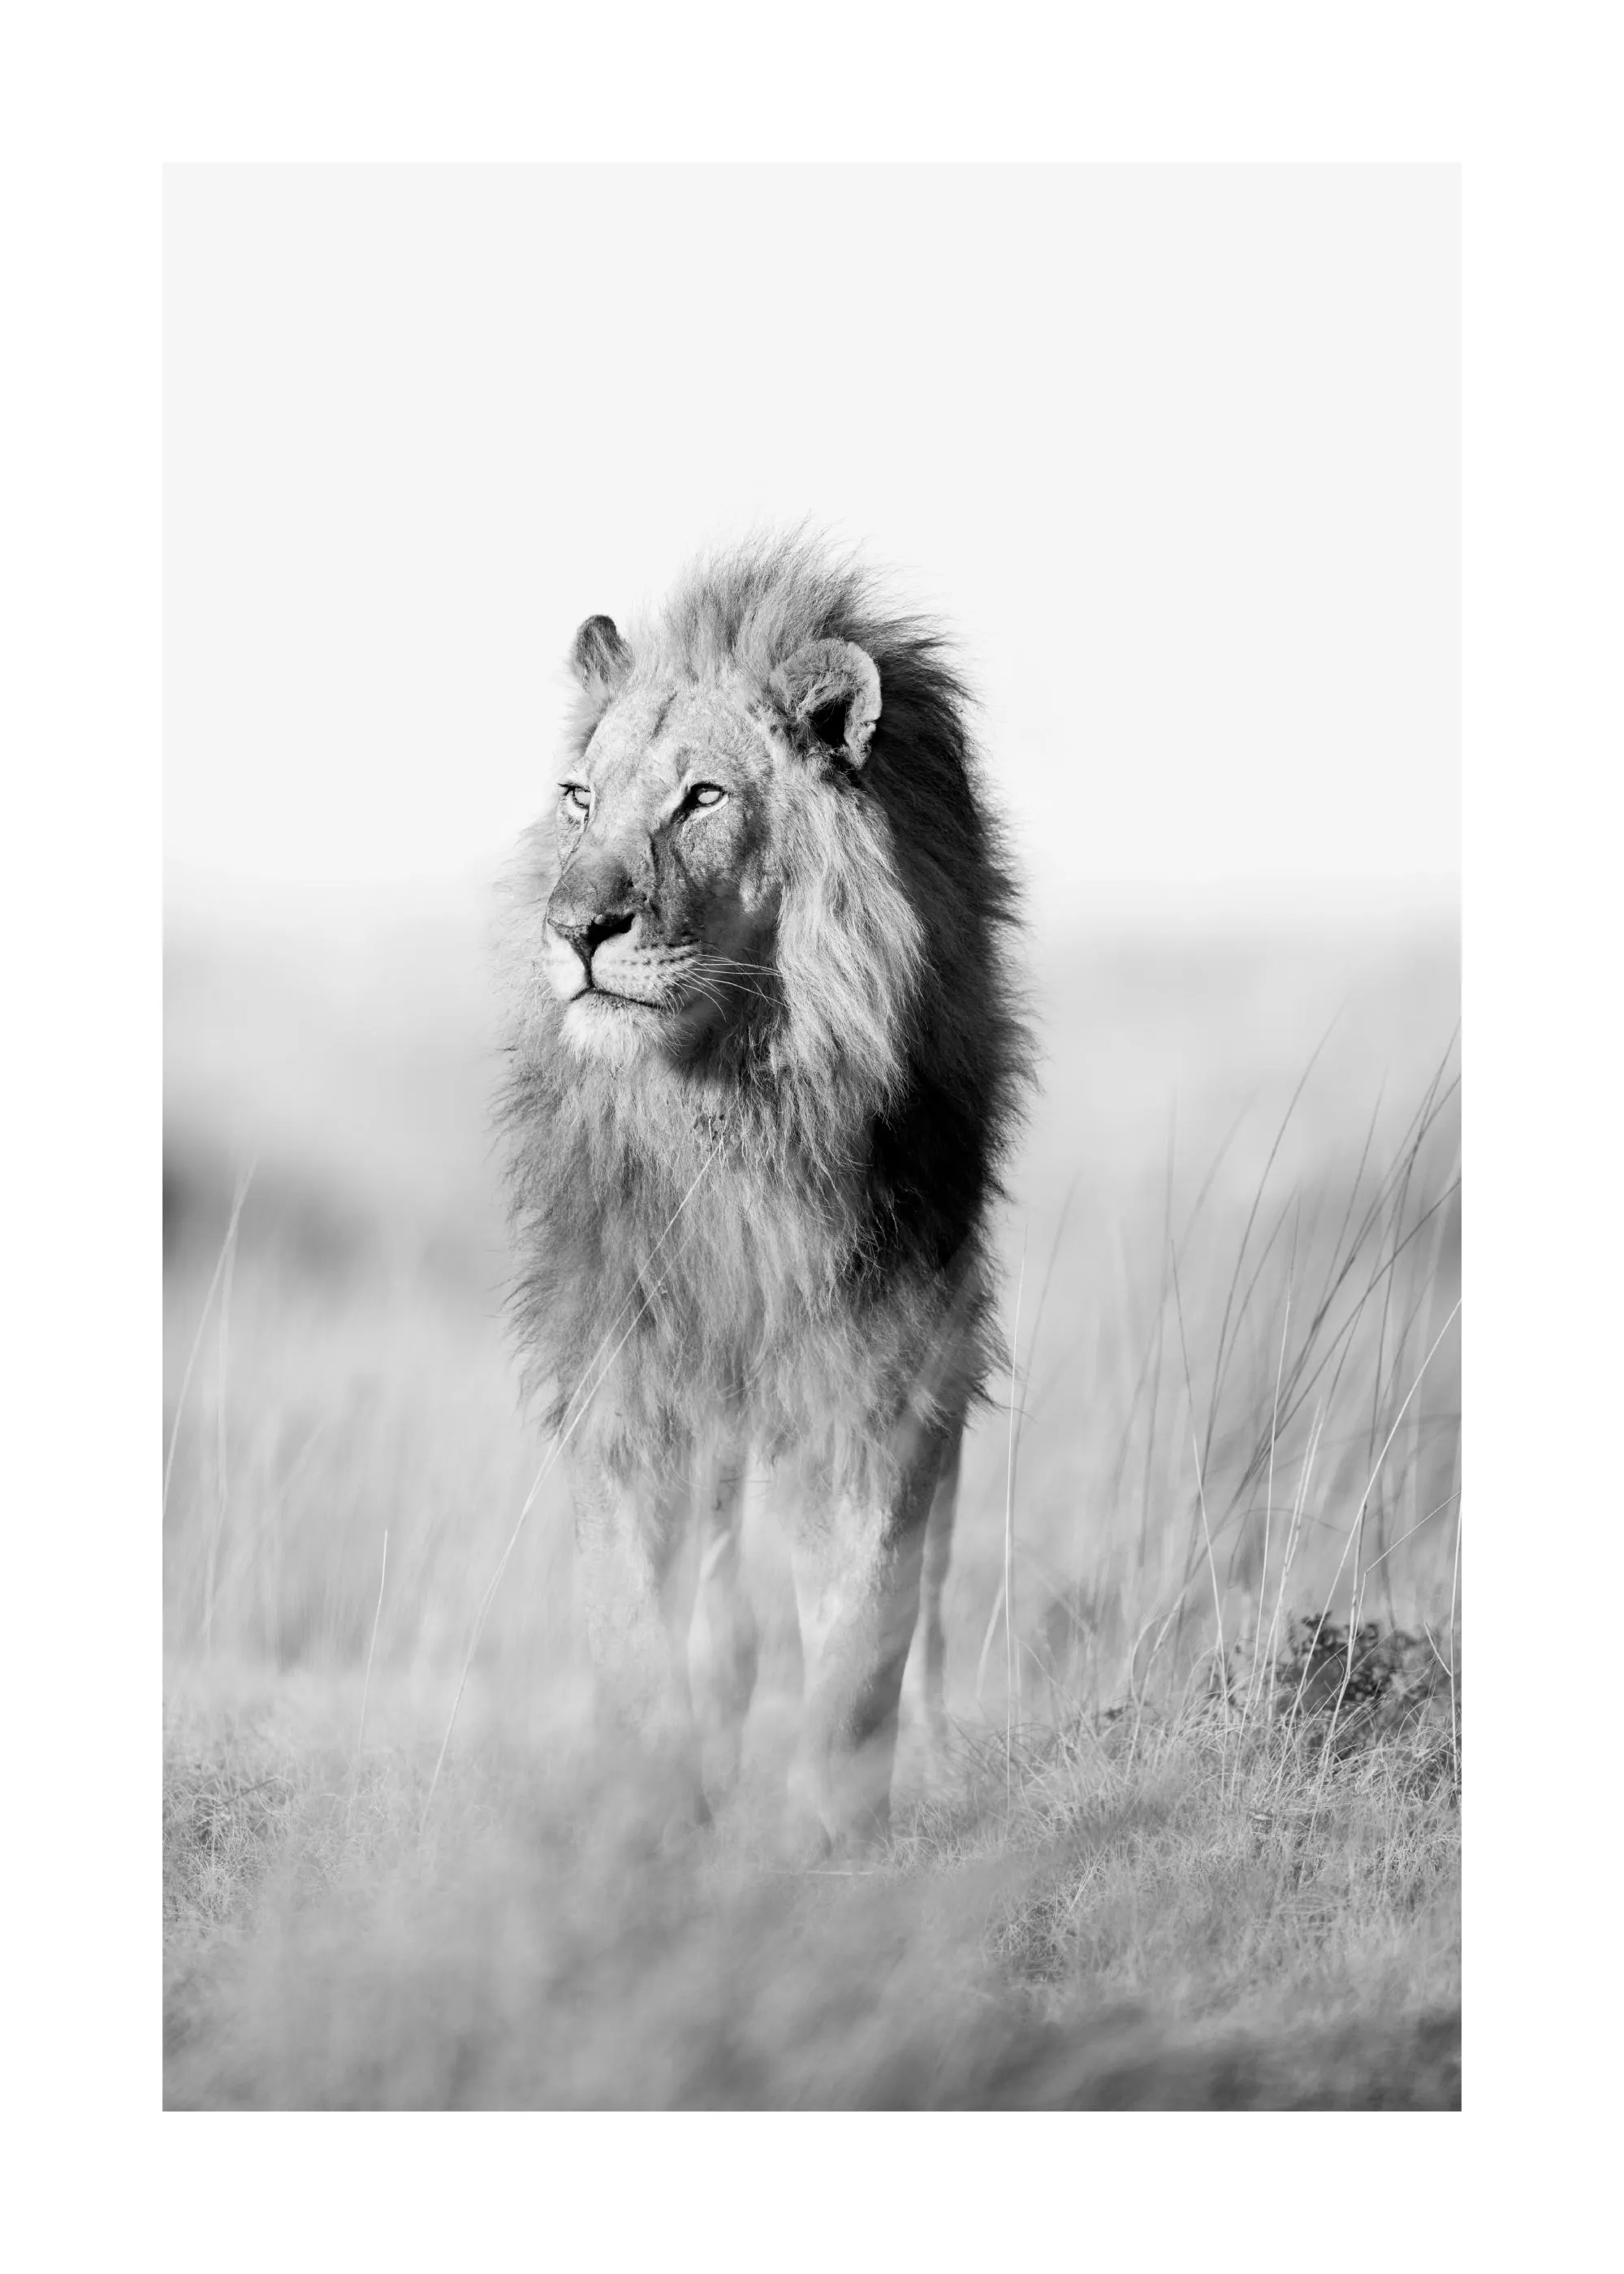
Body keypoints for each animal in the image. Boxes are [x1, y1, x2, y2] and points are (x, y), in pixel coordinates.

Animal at [500, 533, 1029, 1850]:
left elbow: (863, 1635)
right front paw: (653, 1823)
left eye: (703, 798)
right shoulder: (623, 1368)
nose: (578, 927)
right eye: (581, 798)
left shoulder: (887, 1365)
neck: (730, 1104)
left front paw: (832, 1836)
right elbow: (637, 1628)